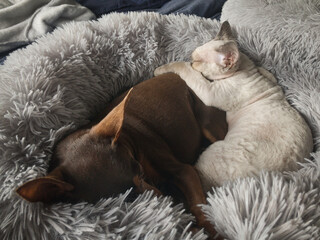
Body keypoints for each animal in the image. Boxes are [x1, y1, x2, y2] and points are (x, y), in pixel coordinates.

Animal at [16, 73, 228, 238]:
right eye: (128, 199)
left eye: (141, 173)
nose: (163, 198)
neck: (126, 139)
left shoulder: (183, 171)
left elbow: (198, 206)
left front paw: (211, 231)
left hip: (208, 124)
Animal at [154, 22, 312, 191]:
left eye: (196, 62)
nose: (190, 60)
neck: (246, 70)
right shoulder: (269, 77)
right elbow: (269, 74)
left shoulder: (210, 92)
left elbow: (184, 69)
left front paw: (160, 69)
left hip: (210, 154)